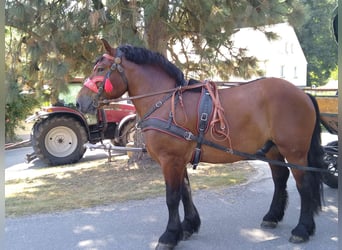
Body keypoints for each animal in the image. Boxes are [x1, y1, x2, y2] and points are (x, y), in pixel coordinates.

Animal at [76, 39, 324, 250]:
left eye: (100, 69)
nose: (79, 102)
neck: (166, 102)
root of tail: (302, 94)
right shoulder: (179, 160)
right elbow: (185, 192)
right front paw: (188, 226)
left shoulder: (170, 160)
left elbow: (172, 197)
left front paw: (169, 235)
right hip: (273, 149)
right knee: (280, 179)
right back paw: (272, 216)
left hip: (295, 152)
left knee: (304, 185)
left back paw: (302, 229)